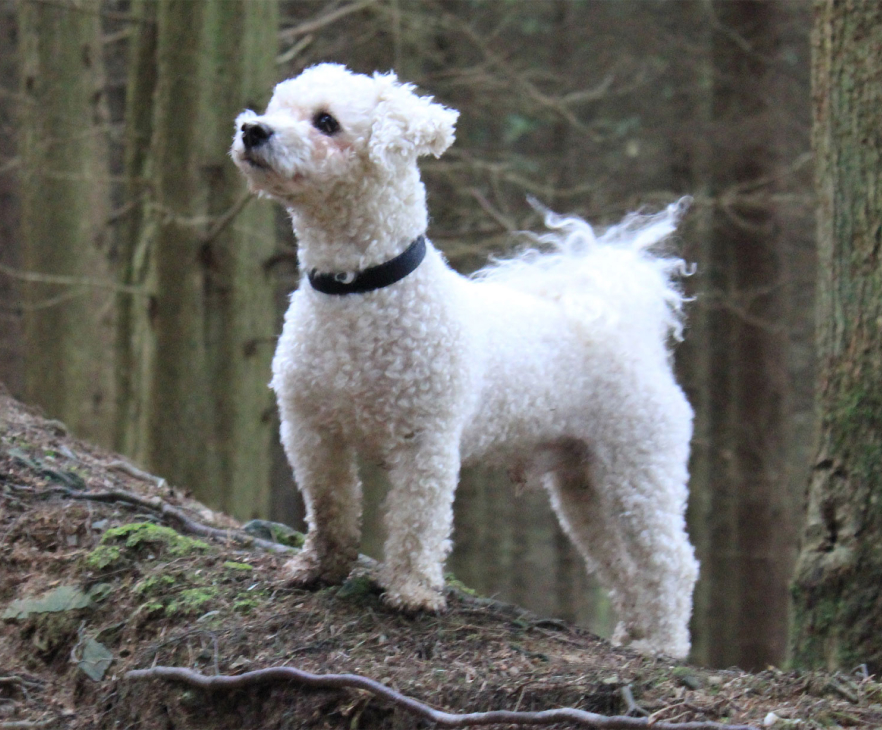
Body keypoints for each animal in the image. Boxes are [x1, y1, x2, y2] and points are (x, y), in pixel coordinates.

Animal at [230, 64, 696, 656]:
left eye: (326, 122)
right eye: (276, 107)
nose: (252, 130)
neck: (357, 289)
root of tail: (625, 329)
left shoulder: (425, 439)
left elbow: (416, 520)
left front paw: (411, 592)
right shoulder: (310, 430)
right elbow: (330, 506)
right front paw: (317, 569)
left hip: (640, 467)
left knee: (670, 561)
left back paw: (664, 645)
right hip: (583, 485)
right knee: (619, 561)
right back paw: (634, 631)